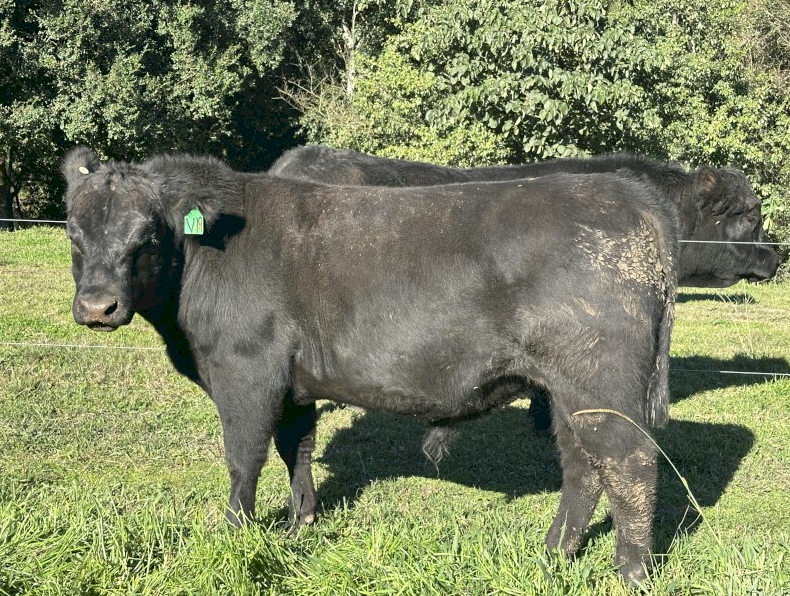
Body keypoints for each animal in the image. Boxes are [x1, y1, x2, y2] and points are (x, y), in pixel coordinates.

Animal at [63, 145, 678, 585]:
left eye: (147, 235)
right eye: (72, 231)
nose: (97, 306)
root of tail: (627, 193)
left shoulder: (247, 372)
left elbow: (244, 460)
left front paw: (236, 536)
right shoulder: (294, 382)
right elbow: (296, 449)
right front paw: (300, 525)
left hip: (600, 386)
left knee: (630, 464)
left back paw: (631, 573)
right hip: (566, 392)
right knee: (582, 467)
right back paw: (551, 555)